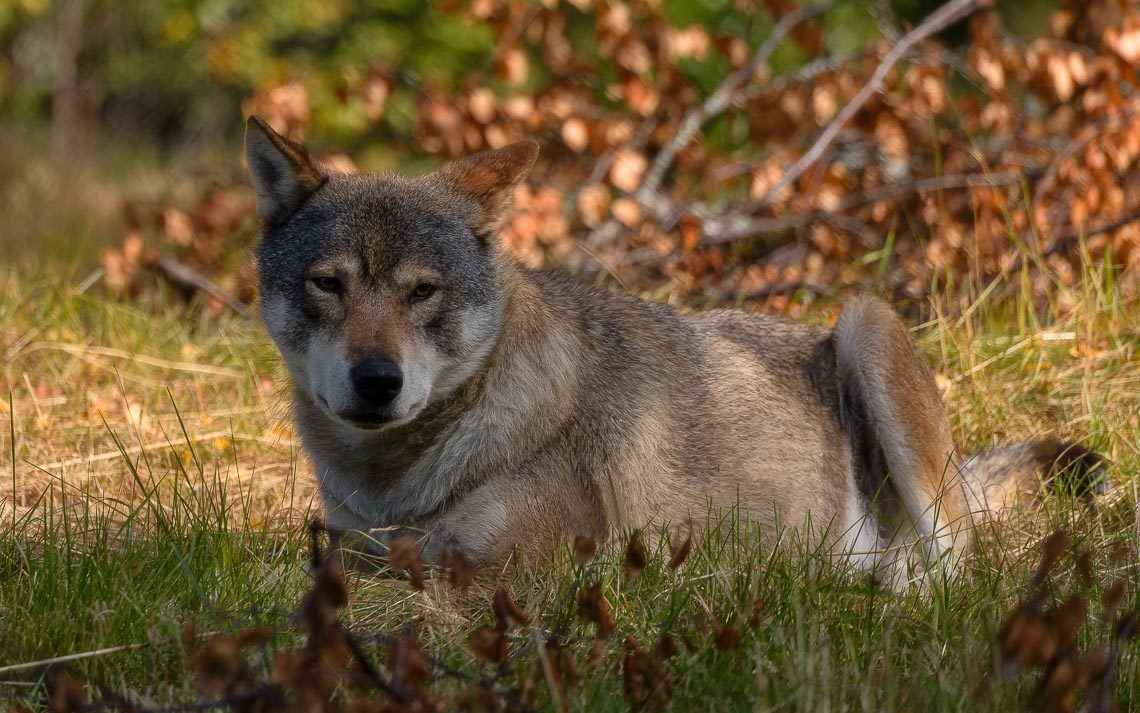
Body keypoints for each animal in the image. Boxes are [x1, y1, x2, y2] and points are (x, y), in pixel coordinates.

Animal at [242, 116, 1103, 584]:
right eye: (329, 284)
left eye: (422, 292)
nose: (377, 380)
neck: (394, 482)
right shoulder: (356, 542)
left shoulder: (516, 565)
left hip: (868, 322)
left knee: (959, 571)